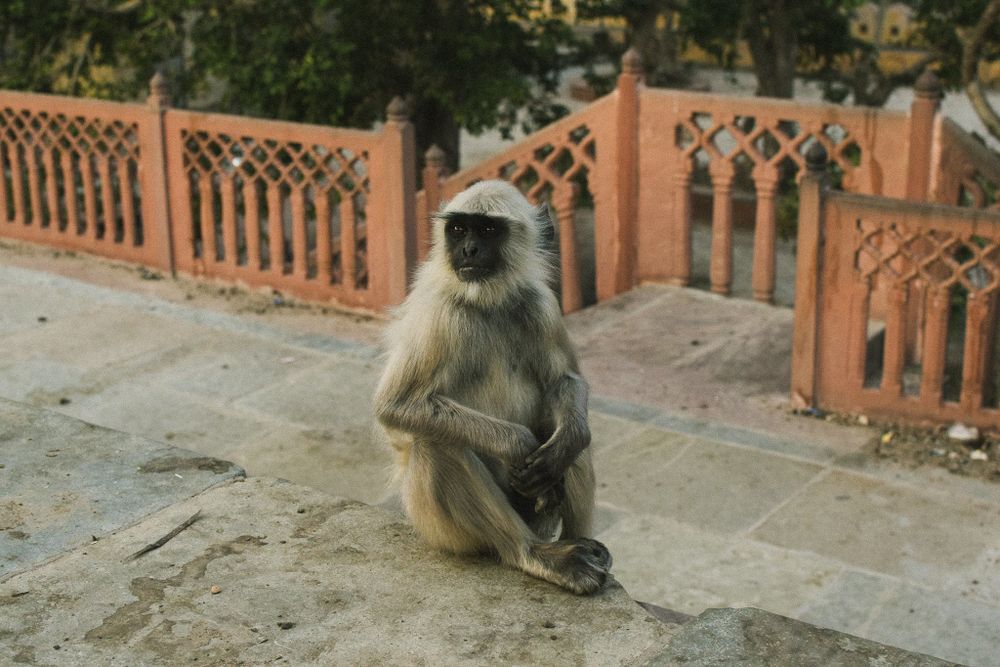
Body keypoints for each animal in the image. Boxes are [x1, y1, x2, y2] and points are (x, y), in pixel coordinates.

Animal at [373, 179, 612, 595]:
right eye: (458, 229)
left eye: (486, 230)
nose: (468, 250)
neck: (487, 303)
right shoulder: (440, 315)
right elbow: (396, 405)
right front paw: (518, 444)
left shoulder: (540, 304)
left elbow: (565, 382)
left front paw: (562, 444)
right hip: (441, 528)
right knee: (437, 443)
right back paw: (535, 554)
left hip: (539, 516)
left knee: (573, 433)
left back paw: (579, 541)